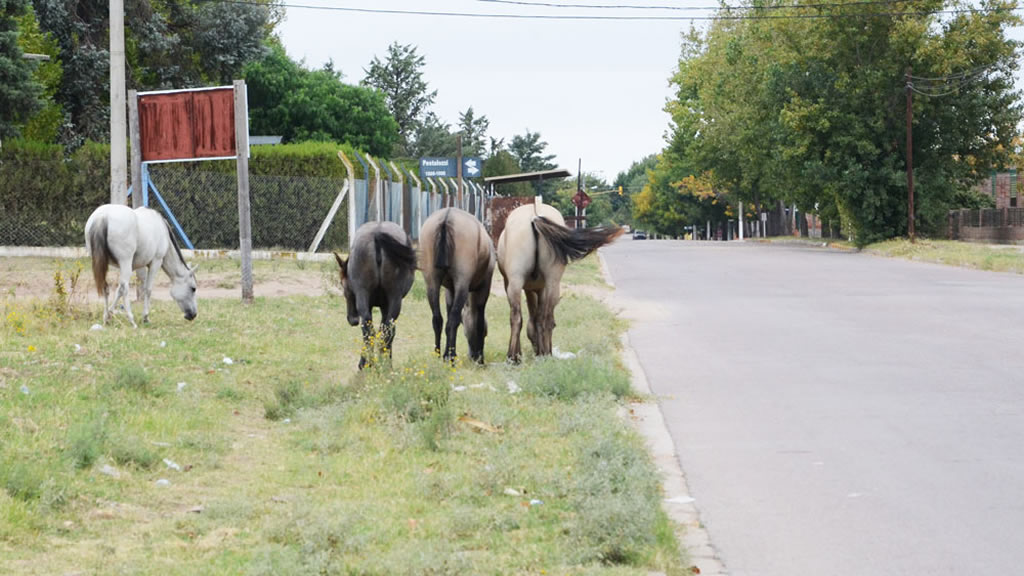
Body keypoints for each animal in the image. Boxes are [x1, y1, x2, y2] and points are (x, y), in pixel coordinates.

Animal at [335, 219, 415, 366]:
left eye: (342, 284)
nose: (352, 319)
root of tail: (377, 234)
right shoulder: (385, 305)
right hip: (393, 298)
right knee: (383, 331)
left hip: (366, 295)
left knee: (370, 330)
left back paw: (367, 363)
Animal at [417, 207, 493, 362]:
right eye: (486, 333)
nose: (472, 355)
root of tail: (447, 217)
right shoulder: (483, 288)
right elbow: (479, 321)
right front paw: (480, 358)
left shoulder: (449, 290)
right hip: (462, 284)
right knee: (453, 320)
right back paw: (450, 356)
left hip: (431, 282)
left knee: (438, 319)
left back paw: (438, 353)